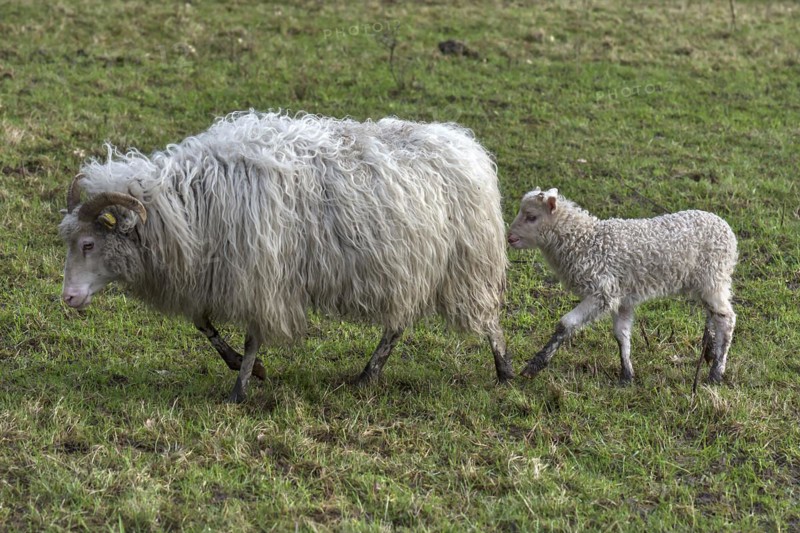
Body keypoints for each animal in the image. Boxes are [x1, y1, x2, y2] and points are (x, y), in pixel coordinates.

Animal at [59, 110, 513, 402]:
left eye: (89, 244)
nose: (67, 298)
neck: (188, 204)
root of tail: (465, 147)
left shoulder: (259, 272)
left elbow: (252, 335)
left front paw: (240, 390)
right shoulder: (213, 270)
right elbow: (202, 322)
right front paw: (245, 368)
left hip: (467, 266)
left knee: (488, 320)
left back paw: (505, 372)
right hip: (412, 268)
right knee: (398, 324)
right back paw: (368, 375)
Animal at [507, 187, 737, 385]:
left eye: (531, 216)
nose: (509, 238)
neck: (585, 241)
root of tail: (727, 229)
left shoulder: (602, 291)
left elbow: (566, 324)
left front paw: (534, 366)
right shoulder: (622, 297)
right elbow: (622, 334)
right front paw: (626, 376)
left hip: (713, 277)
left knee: (726, 319)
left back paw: (716, 373)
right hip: (707, 282)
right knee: (714, 315)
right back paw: (710, 351)